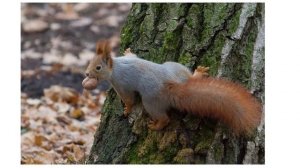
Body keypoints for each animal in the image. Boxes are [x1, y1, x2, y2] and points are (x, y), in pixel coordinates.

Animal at [82, 40, 260, 135]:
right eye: (90, 62)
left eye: (98, 67)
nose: (86, 73)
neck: (116, 66)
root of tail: (172, 86)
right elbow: (133, 55)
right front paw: (128, 50)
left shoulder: (120, 83)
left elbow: (129, 99)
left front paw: (126, 109)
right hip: (175, 68)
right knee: (188, 77)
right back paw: (198, 73)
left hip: (151, 102)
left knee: (164, 118)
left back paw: (157, 126)